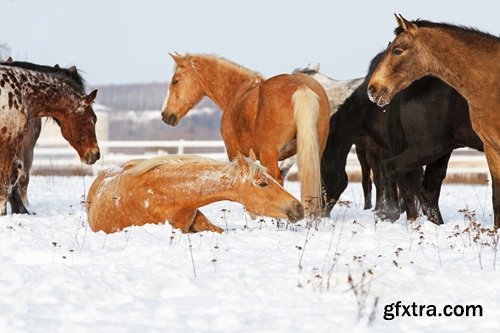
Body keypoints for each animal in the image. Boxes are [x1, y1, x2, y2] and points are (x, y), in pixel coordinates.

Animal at [161, 53, 332, 217]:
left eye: (175, 81)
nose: (165, 115)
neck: (237, 91)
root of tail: (300, 86)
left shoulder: (234, 152)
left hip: (269, 154)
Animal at [368, 14, 500, 228]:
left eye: (397, 50)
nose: (374, 88)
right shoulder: (491, 147)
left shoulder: (493, 147)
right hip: (431, 147)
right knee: (394, 171)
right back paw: (390, 214)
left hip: (439, 151)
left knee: (427, 191)